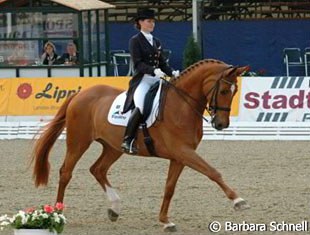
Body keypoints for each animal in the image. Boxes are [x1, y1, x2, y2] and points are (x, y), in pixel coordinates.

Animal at [31, 58, 249, 231]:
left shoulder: (180, 156)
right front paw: (238, 201)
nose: (221, 124)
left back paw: (114, 208)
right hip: (78, 141)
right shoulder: (183, 152)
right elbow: (213, 172)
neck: (181, 106)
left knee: (98, 169)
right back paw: (59, 214)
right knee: (66, 172)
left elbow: (169, 188)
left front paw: (165, 221)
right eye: (223, 90)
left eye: (235, 91)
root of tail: (80, 94)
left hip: (113, 147)